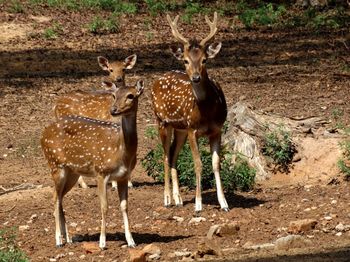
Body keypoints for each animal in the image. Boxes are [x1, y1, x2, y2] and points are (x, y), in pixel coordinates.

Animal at [41, 80, 144, 250]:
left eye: (131, 96)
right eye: (114, 95)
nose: (113, 110)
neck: (121, 151)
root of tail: (43, 134)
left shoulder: (123, 176)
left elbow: (125, 206)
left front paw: (131, 241)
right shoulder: (101, 171)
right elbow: (104, 206)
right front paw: (102, 242)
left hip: (72, 172)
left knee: (60, 197)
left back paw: (68, 238)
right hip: (55, 164)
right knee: (55, 197)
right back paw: (58, 240)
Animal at [54, 53, 137, 188]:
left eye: (124, 69)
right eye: (110, 70)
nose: (118, 79)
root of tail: (55, 105)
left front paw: (129, 183)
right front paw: (114, 184)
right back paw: (84, 185)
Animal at [151, 12, 230, 213]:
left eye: (204, 60)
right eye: (186, 60)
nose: (195, 77)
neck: (207, 111)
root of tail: (156, 80)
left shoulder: (217, 129)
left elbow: (216, 164)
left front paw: (224, 203)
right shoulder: (193, 130)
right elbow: (198, 164)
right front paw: (198, 204)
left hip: (180, 129)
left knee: (172, 155)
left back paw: (178, 198)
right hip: (161, 121)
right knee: (164, 156)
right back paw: (167, 198)